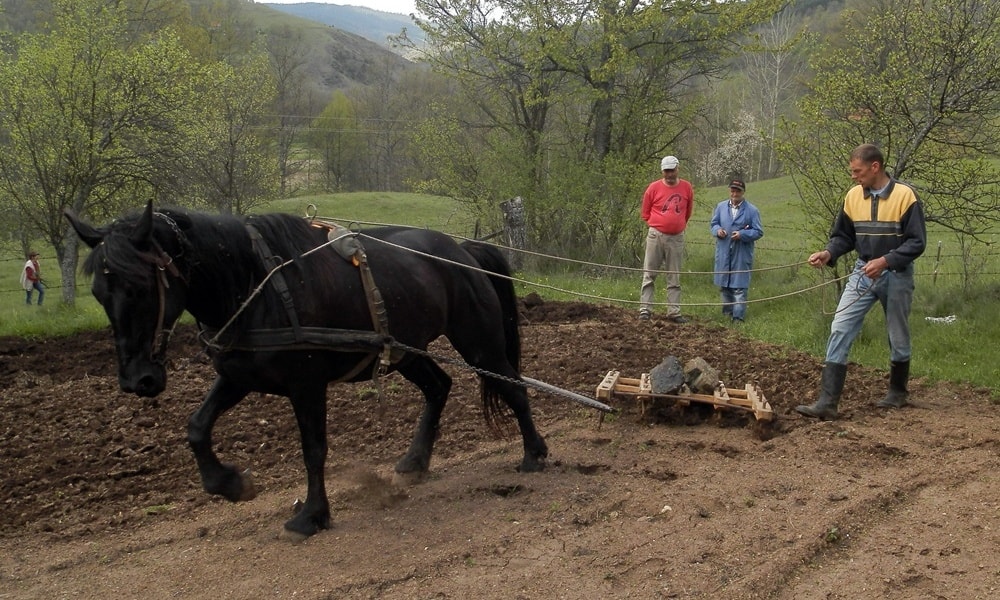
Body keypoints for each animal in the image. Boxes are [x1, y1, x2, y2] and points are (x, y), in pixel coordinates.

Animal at [64, 202, 548, 540]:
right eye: (99, 291)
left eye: (139, 286)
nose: (137, 381)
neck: (251, 284)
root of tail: (462, 249)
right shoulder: (238, 375)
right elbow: (197, 427)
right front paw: (230, 483)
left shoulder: (307, 384)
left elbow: (313, 450)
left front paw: (312, 515)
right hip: (405, 350)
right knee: (438, 386)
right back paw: (415, 460)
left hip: (479, 342)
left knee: (514, 389)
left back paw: (534, 453)